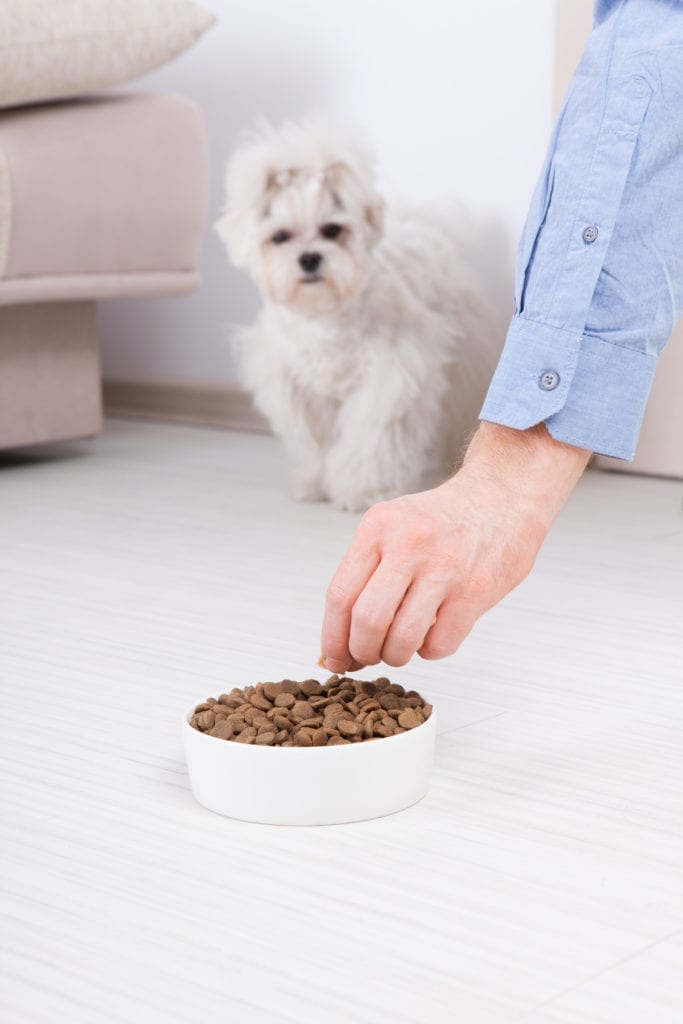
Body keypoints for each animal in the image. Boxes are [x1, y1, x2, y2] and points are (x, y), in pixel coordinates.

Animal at [218, 119, 507, 512]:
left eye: (332, 230)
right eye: (279, 237)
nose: (309, 258)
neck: (326, 319)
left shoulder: (389, 377)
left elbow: (371, 439)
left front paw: (363, 491)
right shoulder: (298, 389)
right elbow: (314, 442)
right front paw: (314, 484)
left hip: (464, 359)